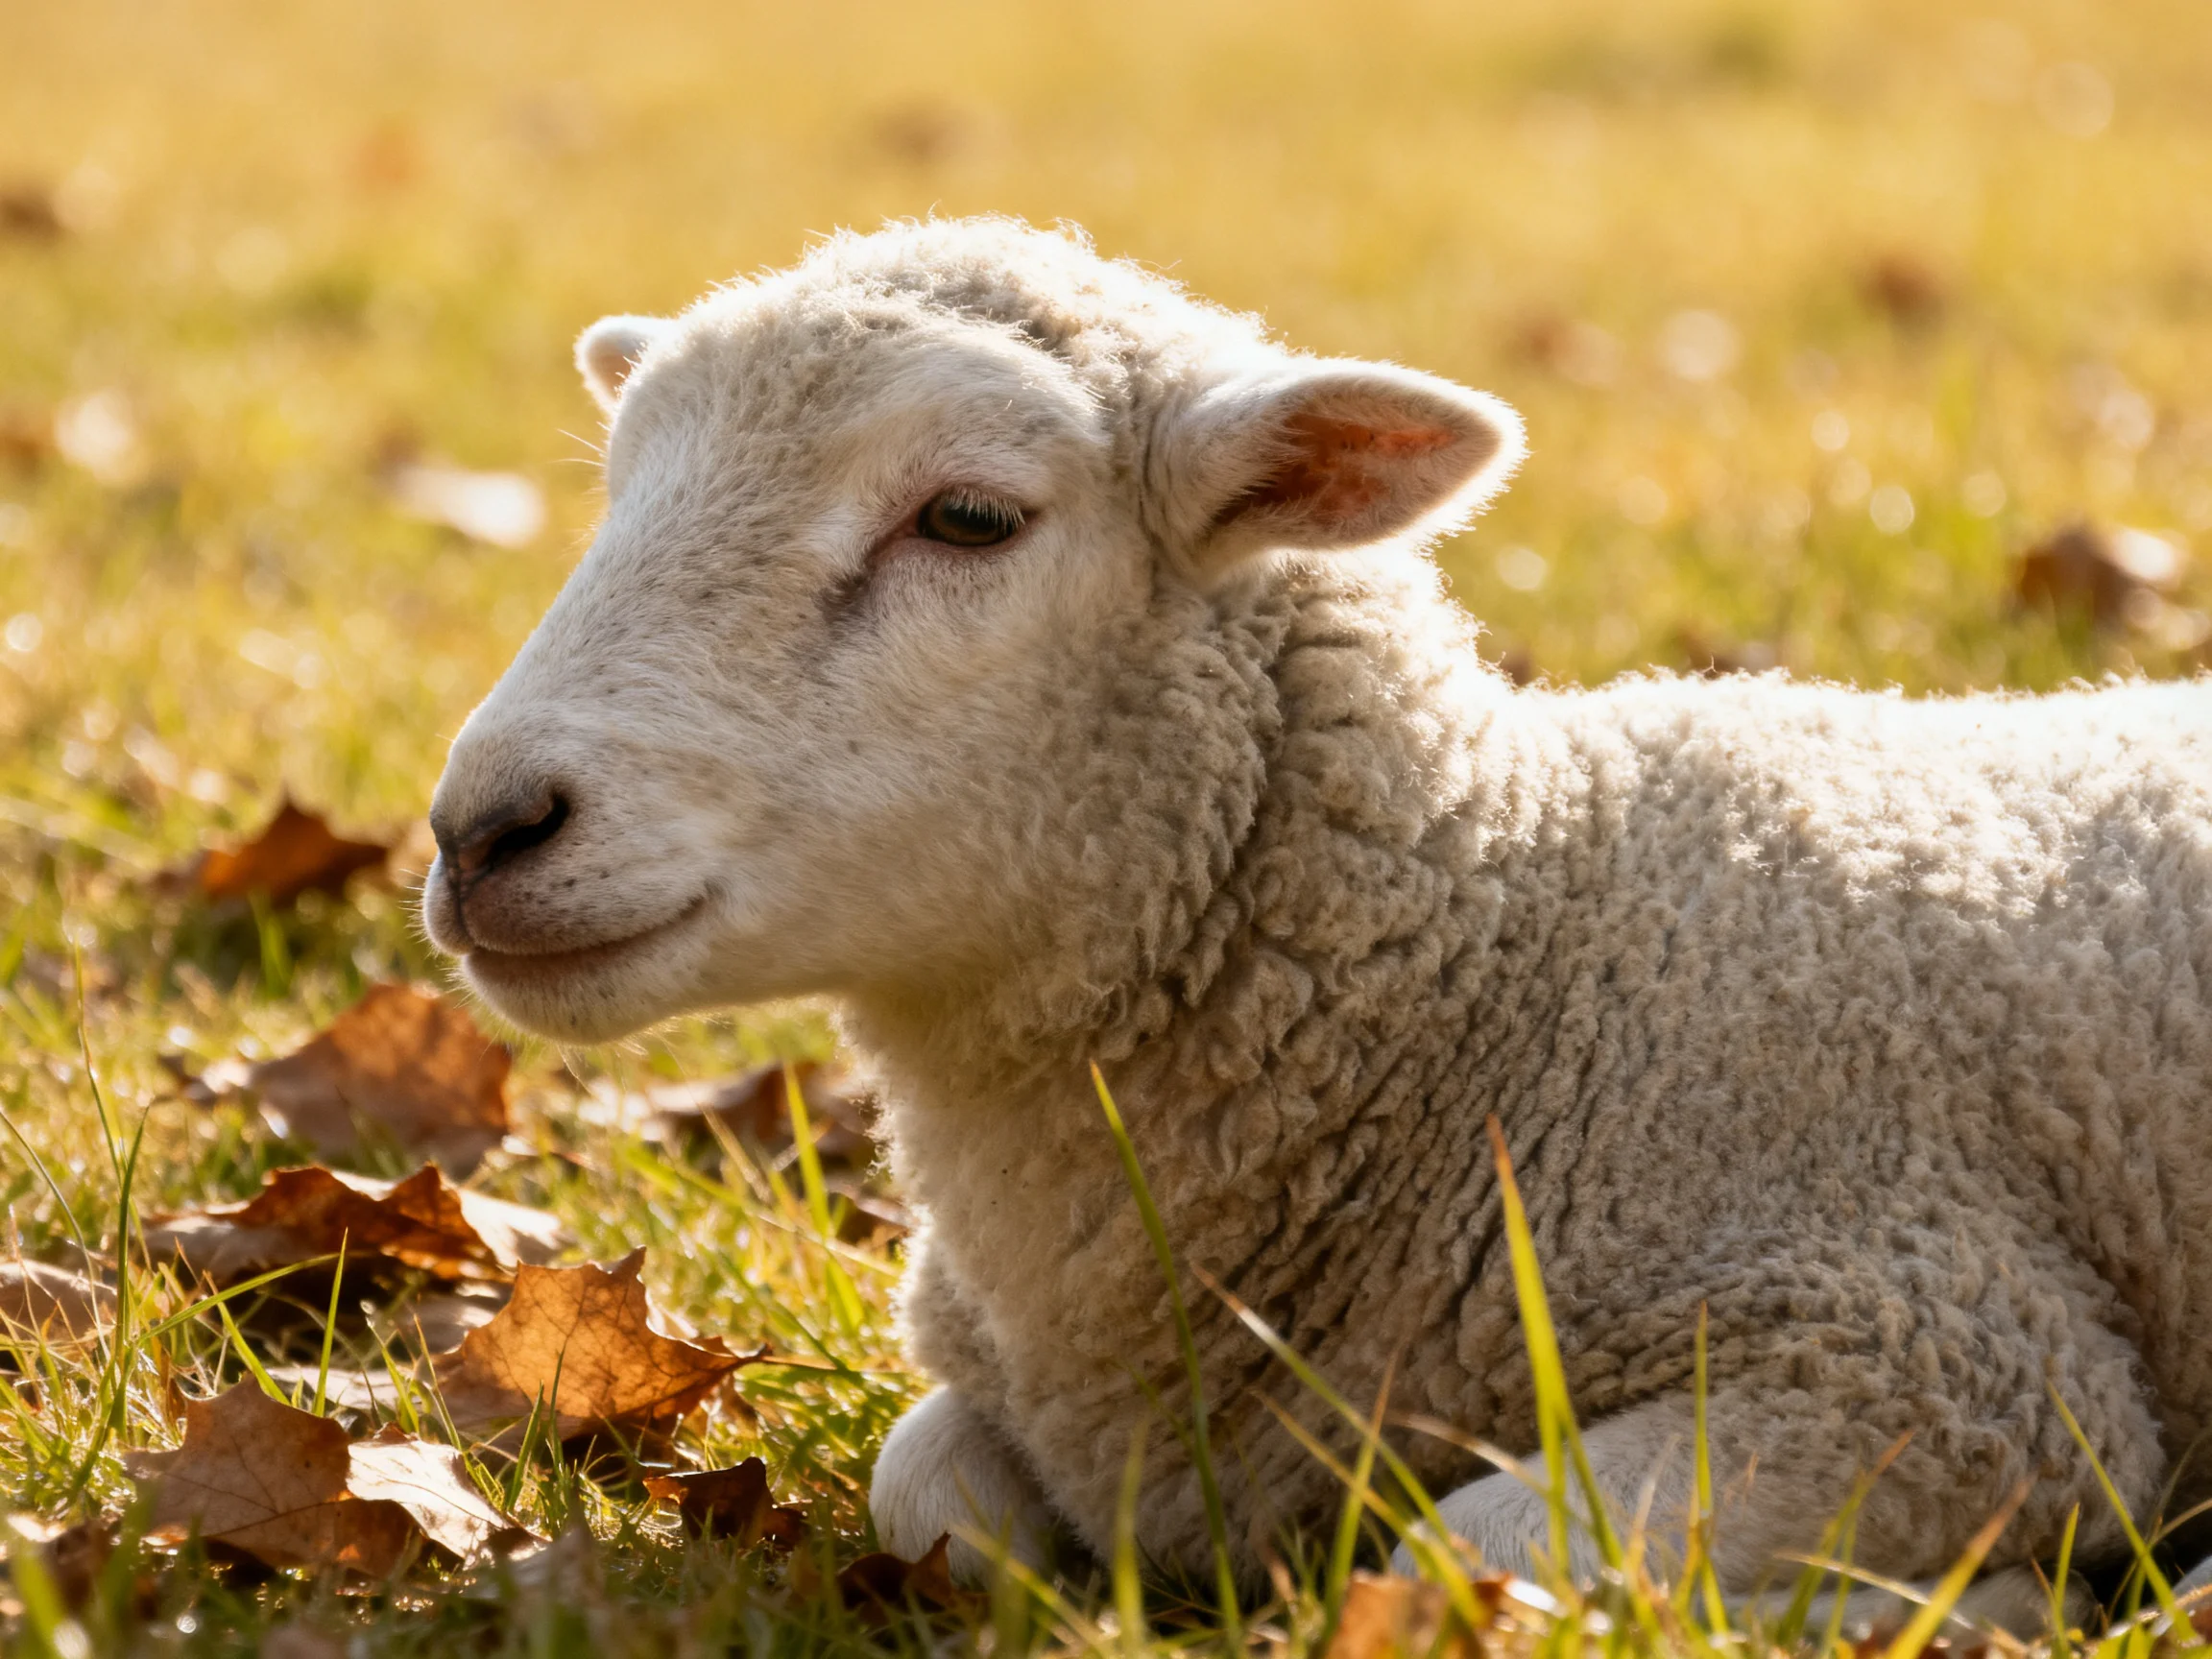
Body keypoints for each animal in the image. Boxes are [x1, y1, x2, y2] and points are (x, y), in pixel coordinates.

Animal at [422, 216, 2212, 1625]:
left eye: (969, 518)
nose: (480, 829)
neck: (1508, 960)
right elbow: (926, 1500)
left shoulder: (1940, 1359)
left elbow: (1462, 1558)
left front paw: (1963, 1605)